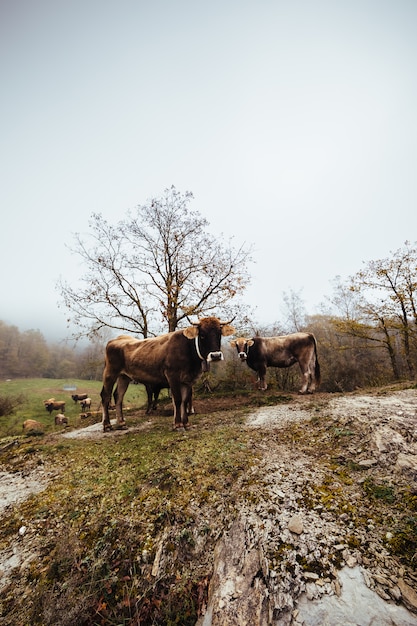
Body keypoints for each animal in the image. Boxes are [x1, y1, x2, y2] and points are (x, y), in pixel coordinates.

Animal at [99, 314, 232, 432]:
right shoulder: (172, 375)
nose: (215, 355)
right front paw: (178, 425)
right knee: (105, 395)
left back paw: (122, 423)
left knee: (118, 396)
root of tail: (116, 339)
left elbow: (185, 400)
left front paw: (186, 423)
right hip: (110, 372)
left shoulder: (188, 379)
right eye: (202, 335)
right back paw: (107, 425)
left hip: (124, 376)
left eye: (219, 334)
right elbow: (177, 399)